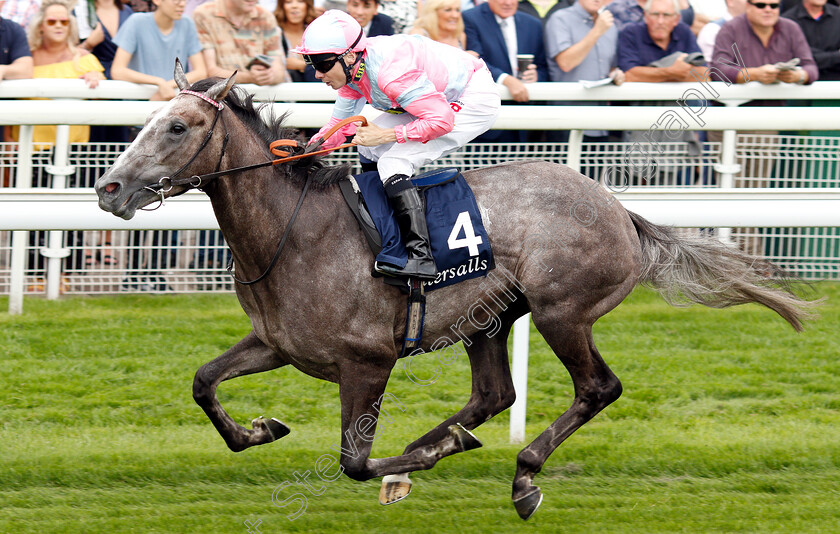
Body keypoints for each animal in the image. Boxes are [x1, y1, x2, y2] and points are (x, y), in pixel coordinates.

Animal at [92, 68, 812, 524]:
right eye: (147, 121)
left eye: (178, 127)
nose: (109, 188)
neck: (292, 232)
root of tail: (620, 209)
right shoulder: (277, 343)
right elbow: (203, 383)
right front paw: (261, 428)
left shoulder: (367, 361)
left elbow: (354, 462)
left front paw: (407, 466)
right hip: (487, 320)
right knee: (494, 394)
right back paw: (449, 444)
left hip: (561, 312)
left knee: (596, 388)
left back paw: (520, 475)